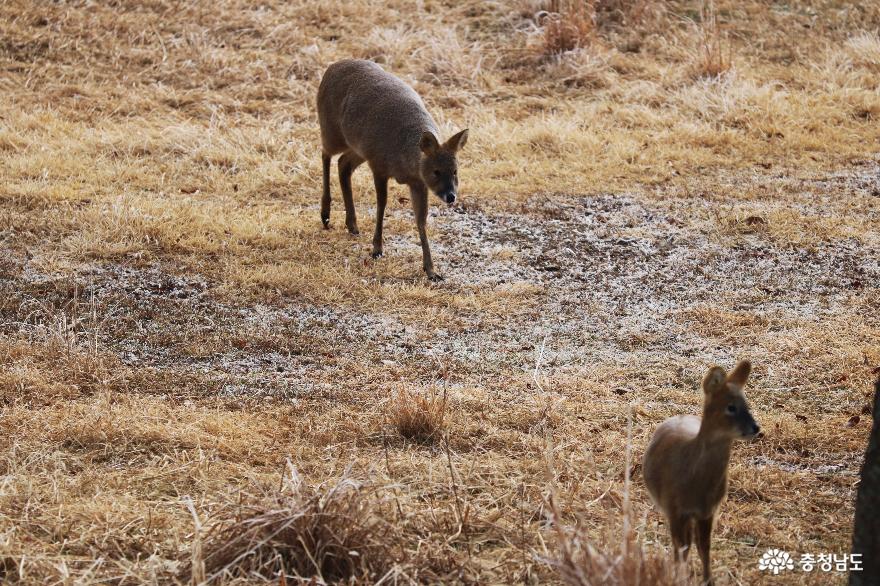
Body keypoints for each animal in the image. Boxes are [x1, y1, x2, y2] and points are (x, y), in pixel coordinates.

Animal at [316, 59, 468, 280]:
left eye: (455, 170)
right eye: (436, 171)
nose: (450, 196)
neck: (405, 159)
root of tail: (330, 68)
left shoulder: (418, 183)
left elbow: (421, 220)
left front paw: (431, 270)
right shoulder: (379, 166)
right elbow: (382, 205)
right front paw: (377, 248)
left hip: (358, 147)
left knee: (343, 164)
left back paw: (352, 224)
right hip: (332, 129)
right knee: (325, 153)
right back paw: (325, 214)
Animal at [644, 358, 760, 580]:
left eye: (747, 405)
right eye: (731, 407)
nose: (756, 428)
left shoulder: (708, 510)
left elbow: (704, 547)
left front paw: (707, 579)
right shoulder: (674, 507)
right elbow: (682, 547)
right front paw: (680, 577)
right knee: (681, 544)